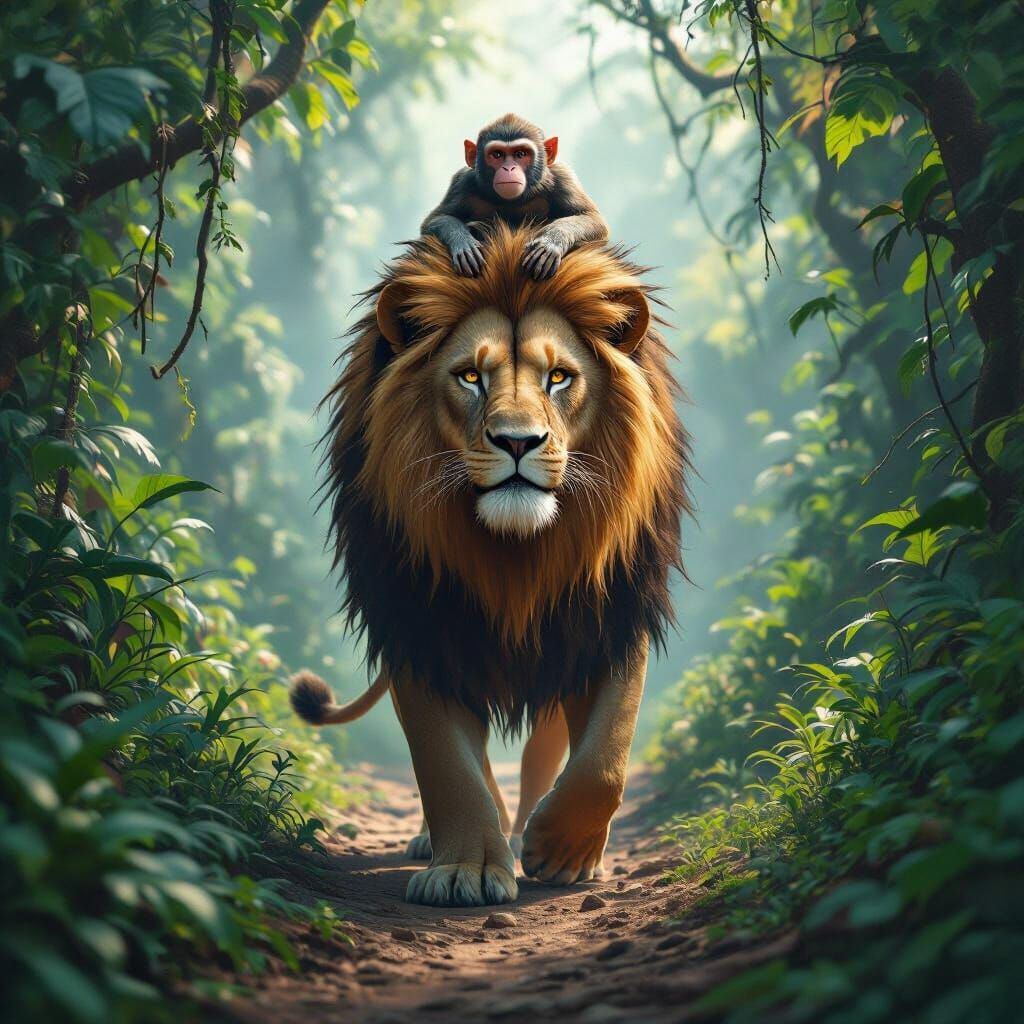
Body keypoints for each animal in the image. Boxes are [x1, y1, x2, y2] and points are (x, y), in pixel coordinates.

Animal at [291, 223, 690, 907]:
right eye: (470, 377)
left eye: (559, 377)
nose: (517, 442)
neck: (515, 560)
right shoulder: (422, 630)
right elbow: (446, 764)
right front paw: (467, 870)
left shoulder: (607, 620)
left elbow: (605, 758)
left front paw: (559, 852)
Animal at [420, 113, 609, 280]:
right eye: (497, 154)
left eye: (520, 154)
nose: (509, 168)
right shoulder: (462, 182)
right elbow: (436, 219)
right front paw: (464, 242)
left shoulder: (563, 178)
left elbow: (592, 218)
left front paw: (551, 241)